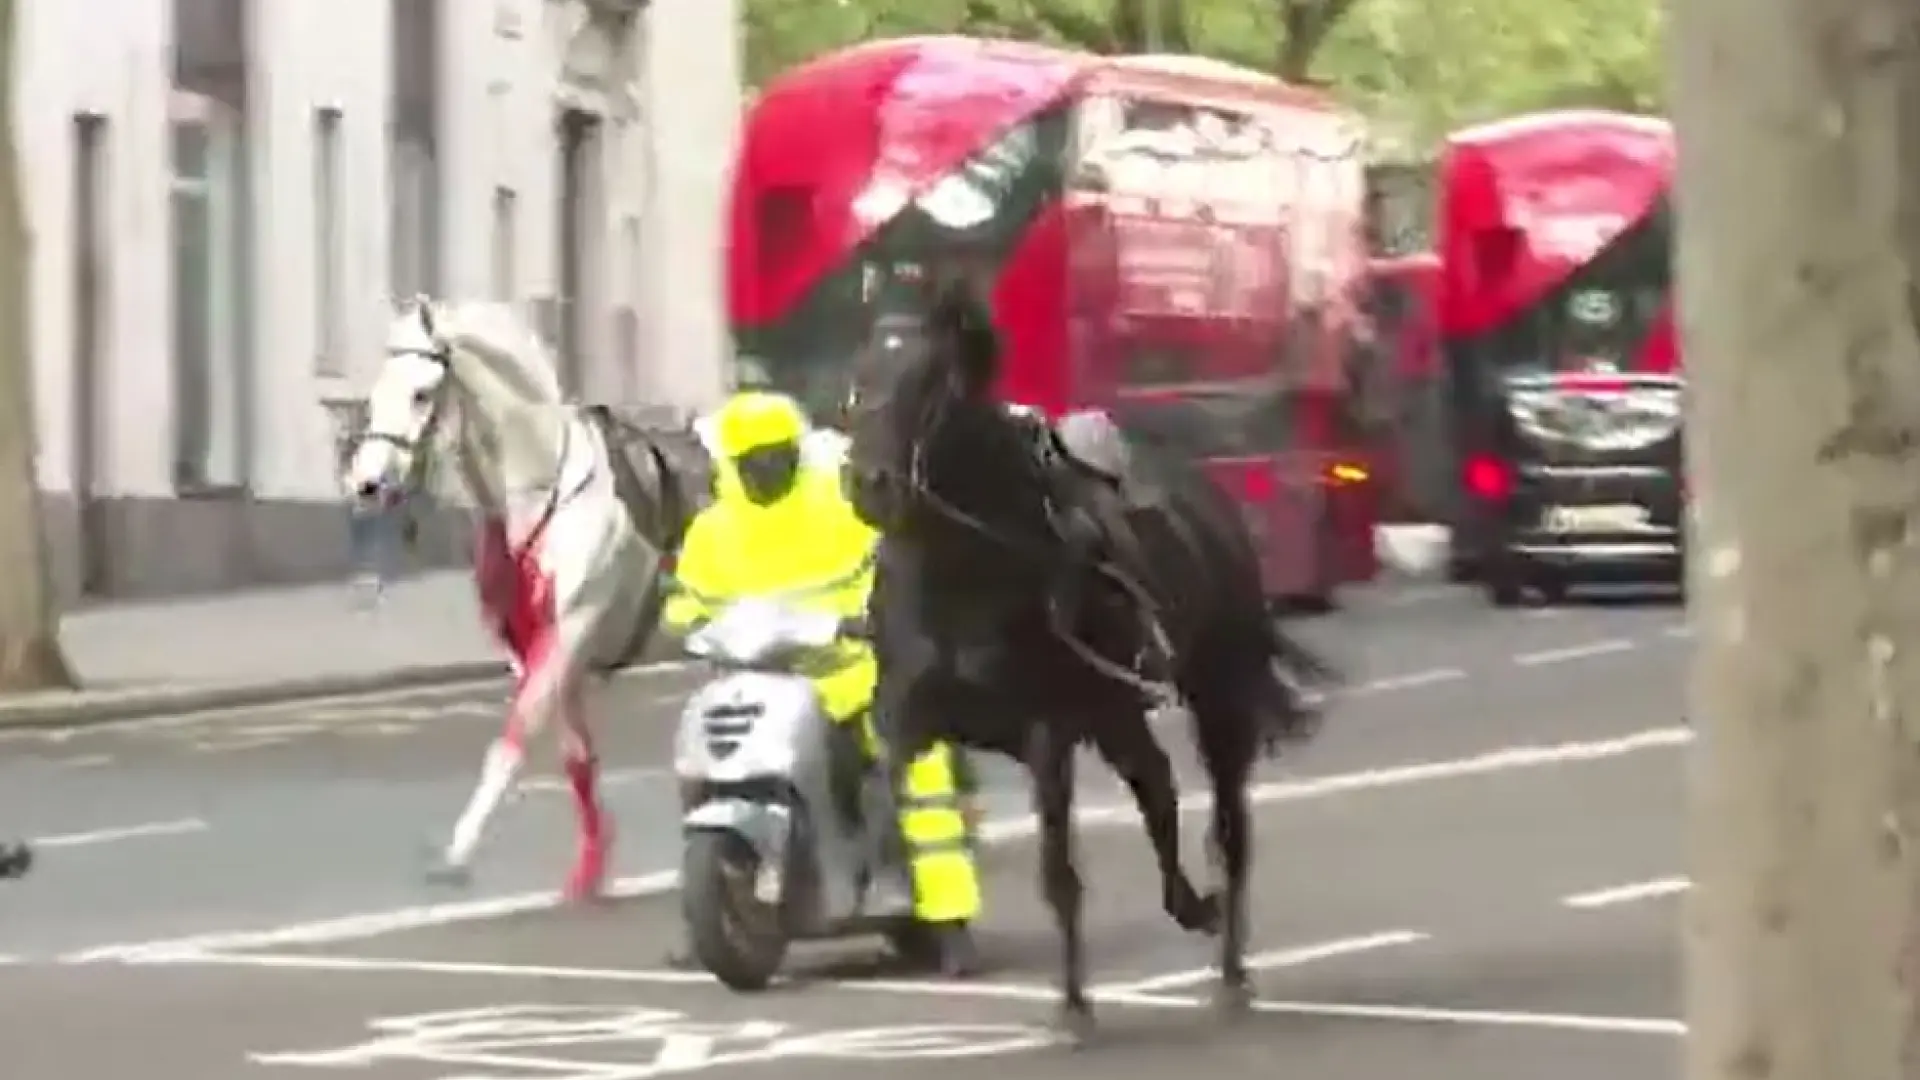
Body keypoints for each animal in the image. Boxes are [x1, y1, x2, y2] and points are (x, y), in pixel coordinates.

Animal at [349, 297, 687, 895]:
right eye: (378, 387)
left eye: (422, 393)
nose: (366, 484)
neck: (542, 491)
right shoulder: (541, 653)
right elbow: (577, 757)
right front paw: (589, 871)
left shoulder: (569, 632)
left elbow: (511, 745)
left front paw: (456, 852)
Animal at [840, 276, 1336, 1037]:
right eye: (862, 372)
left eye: (931, 381)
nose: (869, 483)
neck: (967, 565)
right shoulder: (907, 716)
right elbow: (880, 797)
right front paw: (889, 881)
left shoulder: (1048, 731)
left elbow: (1058, 871)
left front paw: (1073, 1003)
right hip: (1115, 713)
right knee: (1157, 785)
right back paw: (1192, 906)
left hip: (1213, 699)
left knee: (1227, 830)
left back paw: (1229, 966)